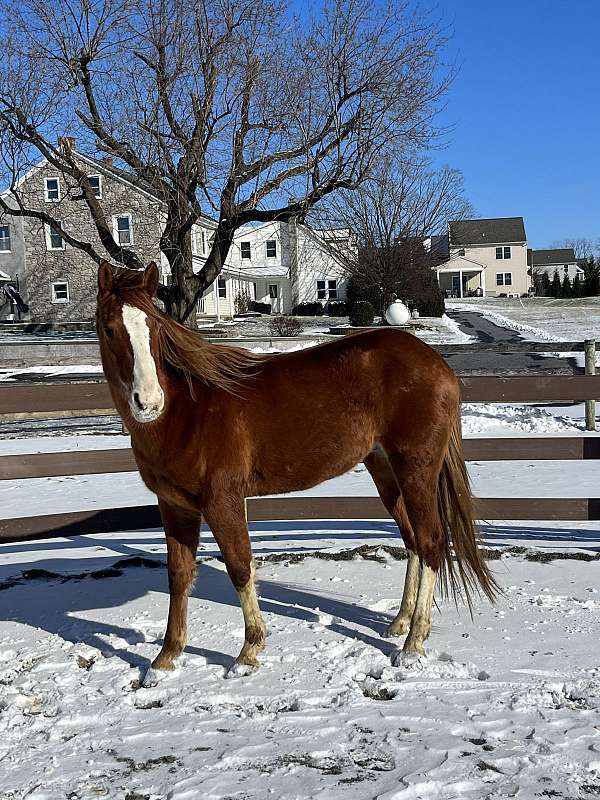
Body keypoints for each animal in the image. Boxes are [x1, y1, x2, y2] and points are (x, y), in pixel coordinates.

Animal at [96, 262, 494, 676]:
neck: (186, 411)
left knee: (431, 542)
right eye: (109, 328)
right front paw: (165, 658)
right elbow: (178, 576)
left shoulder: (222, 501)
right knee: (413, 541)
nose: (148, 401)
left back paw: (413, 644)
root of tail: (436, 363)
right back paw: (400, 622)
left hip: (417, 470)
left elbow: (240, 567)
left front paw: (248, 652)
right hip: (387, 473)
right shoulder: (174, 506)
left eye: (154, 328)